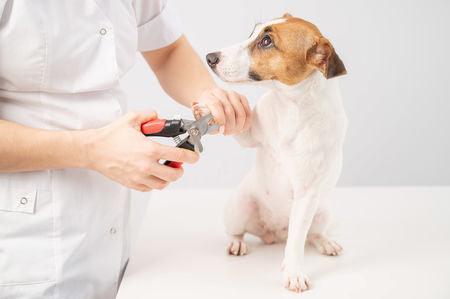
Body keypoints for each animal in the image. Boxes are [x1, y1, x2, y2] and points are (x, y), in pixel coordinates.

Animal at [200, 13, 348, 292]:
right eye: (253, 32)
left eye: (267, 41)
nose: (210, 57)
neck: (290, 106)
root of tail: (274, 233)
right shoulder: (249, 134)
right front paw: (213, 105)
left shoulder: (306, 194)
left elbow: (297, 241)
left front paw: (294, 271)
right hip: (238, 208)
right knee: (235, 231)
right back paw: (237, 243)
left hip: (322, 211)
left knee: (310, 234)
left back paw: (325, 241)